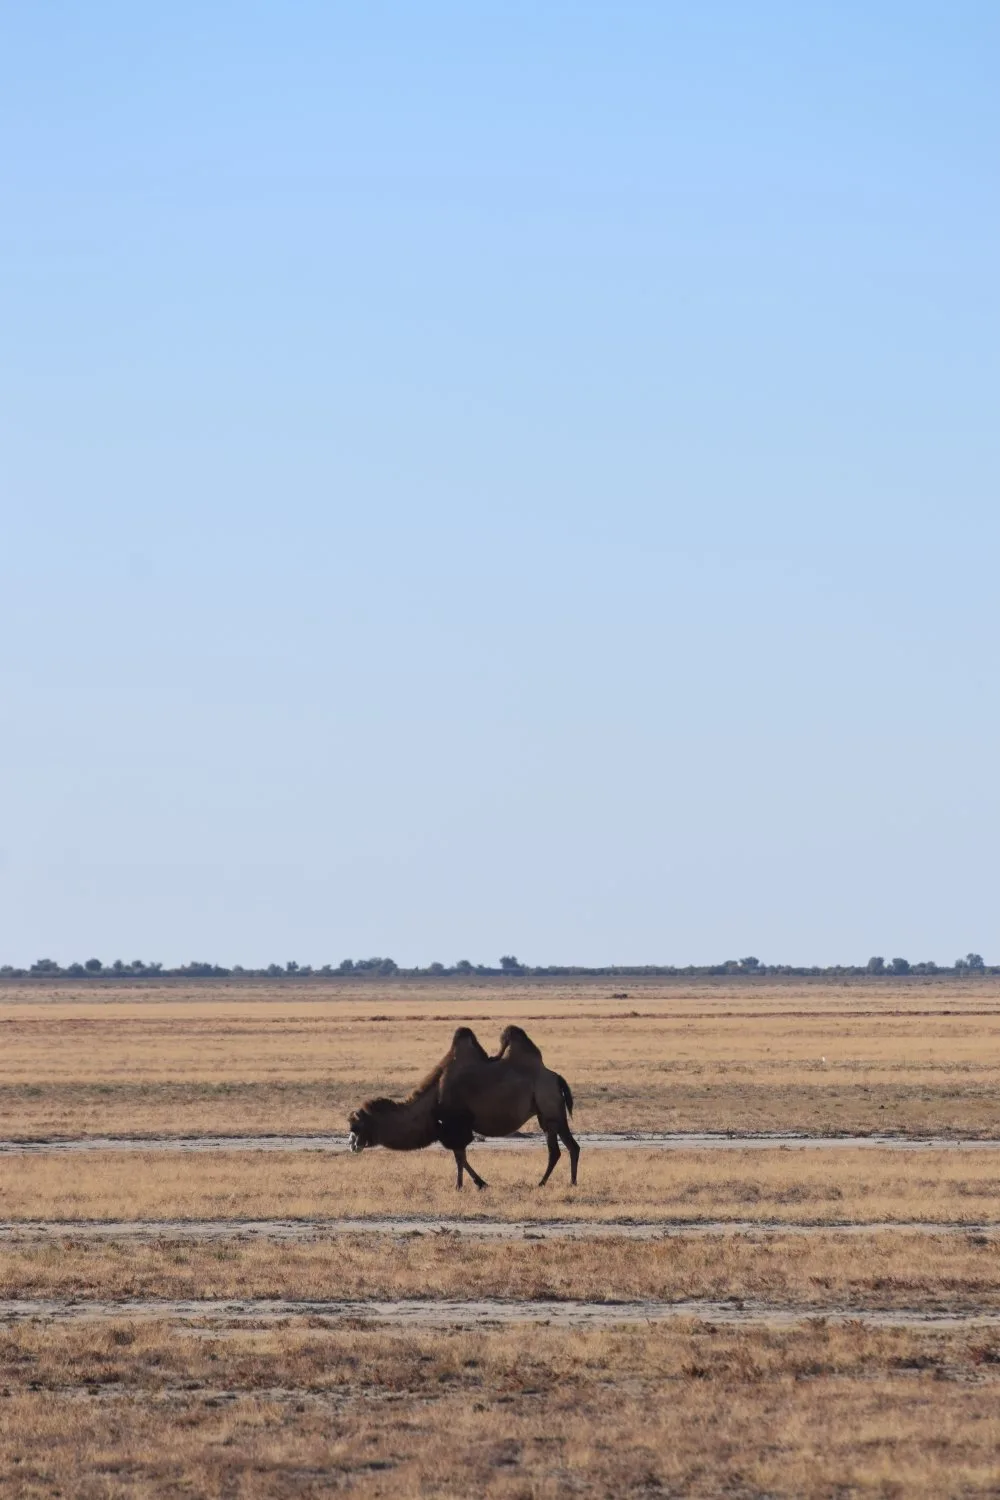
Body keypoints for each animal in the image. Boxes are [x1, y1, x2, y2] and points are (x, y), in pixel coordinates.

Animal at [347, 1024, 580, 1190]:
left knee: (563, 1148)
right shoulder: (452, 1128)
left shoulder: (456, 1125)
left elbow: (459, 1157)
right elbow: (461, 1157)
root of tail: (556, 1077)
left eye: (355, 1127)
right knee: (561, 1148)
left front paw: (463, 1185)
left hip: (550, 1109)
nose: (352, 1146)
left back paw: (554, 1183)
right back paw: (559, 1182)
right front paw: (479, 1183)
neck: (432, 1100)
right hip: (547, 1115)